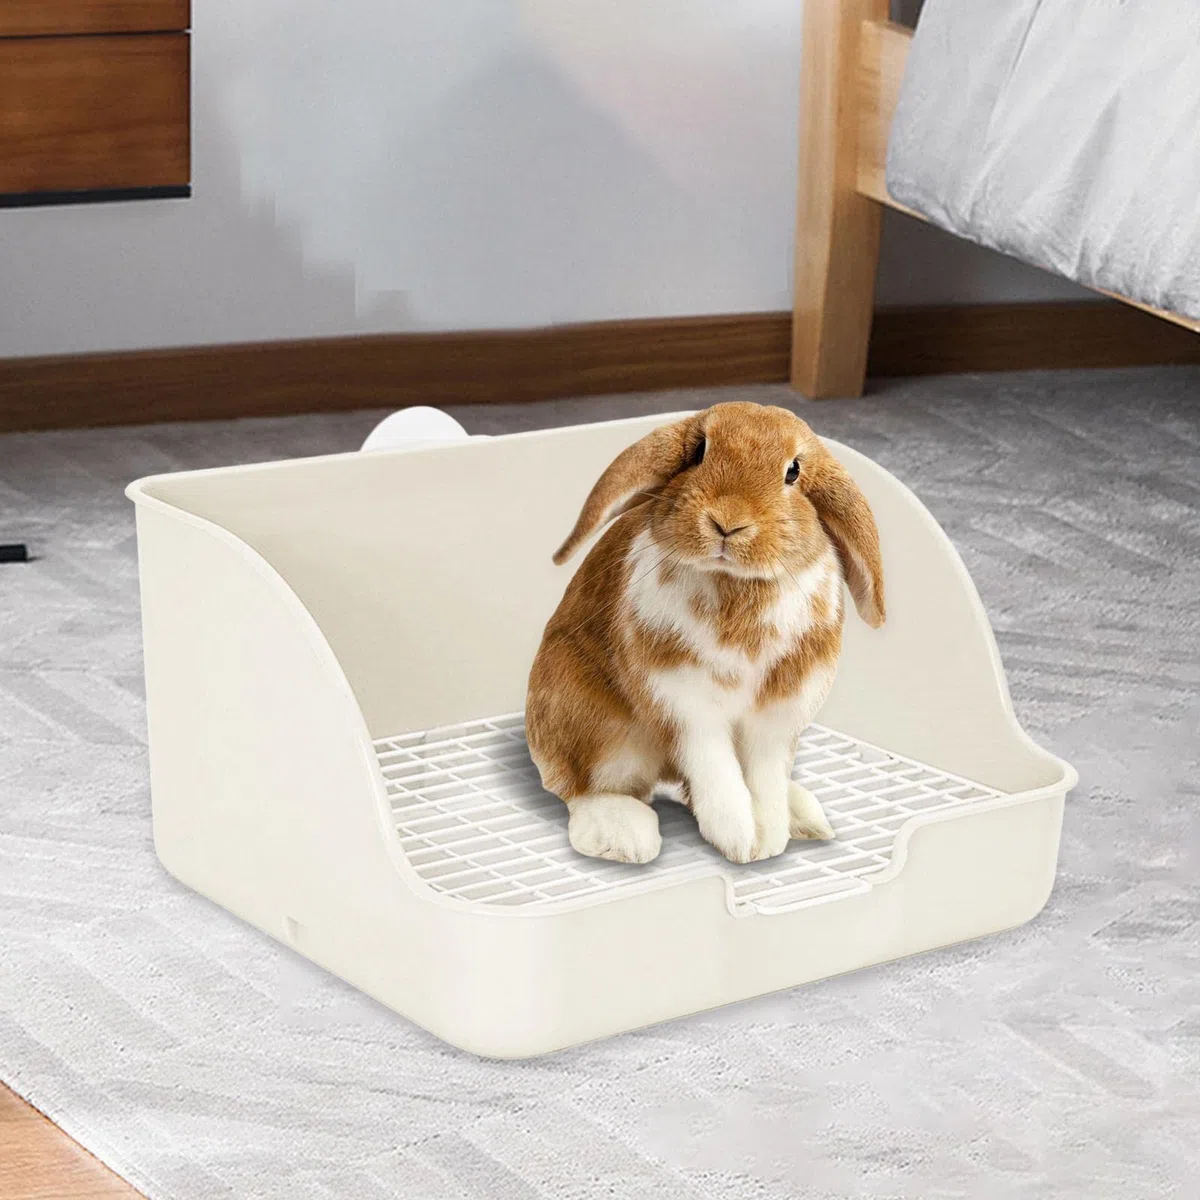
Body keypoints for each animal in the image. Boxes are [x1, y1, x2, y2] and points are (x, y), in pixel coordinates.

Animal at [526, 401, 885, 866]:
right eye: (699, 451)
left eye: (793, 471)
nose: (728, 522)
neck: (734, 583)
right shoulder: (688, 706)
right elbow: (718, 772)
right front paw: (741, 842)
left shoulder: (777, 718)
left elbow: (763, 780)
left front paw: (767, 840)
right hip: (596, 725)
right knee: (582, 789)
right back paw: (624, 835)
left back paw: (803, 816)